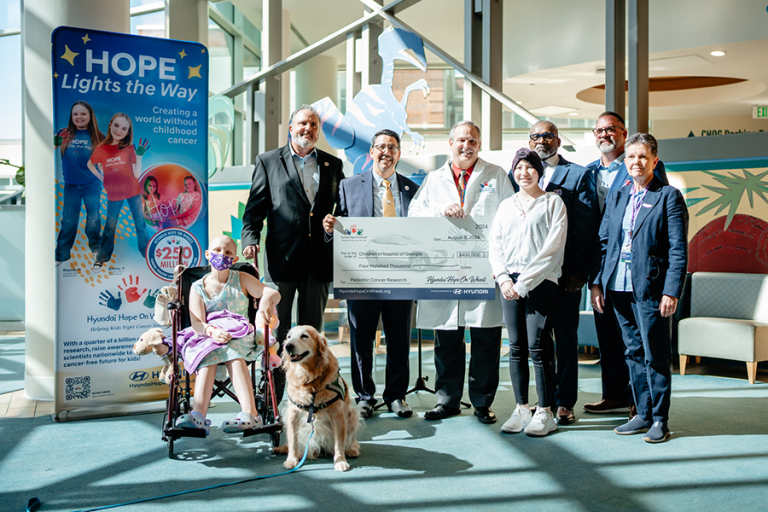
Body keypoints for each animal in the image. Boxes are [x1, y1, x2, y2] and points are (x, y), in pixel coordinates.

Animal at [272, 326, 360, 470]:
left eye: (304, 336)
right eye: (289, 337)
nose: (287, 346)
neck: (308, 378)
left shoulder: (338, 414)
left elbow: (339, 443)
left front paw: (340, 461)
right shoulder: (292, 414)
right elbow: (293, 441)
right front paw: (291, 459)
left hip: (352, 416)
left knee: (351, 439)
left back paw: (351, 449)